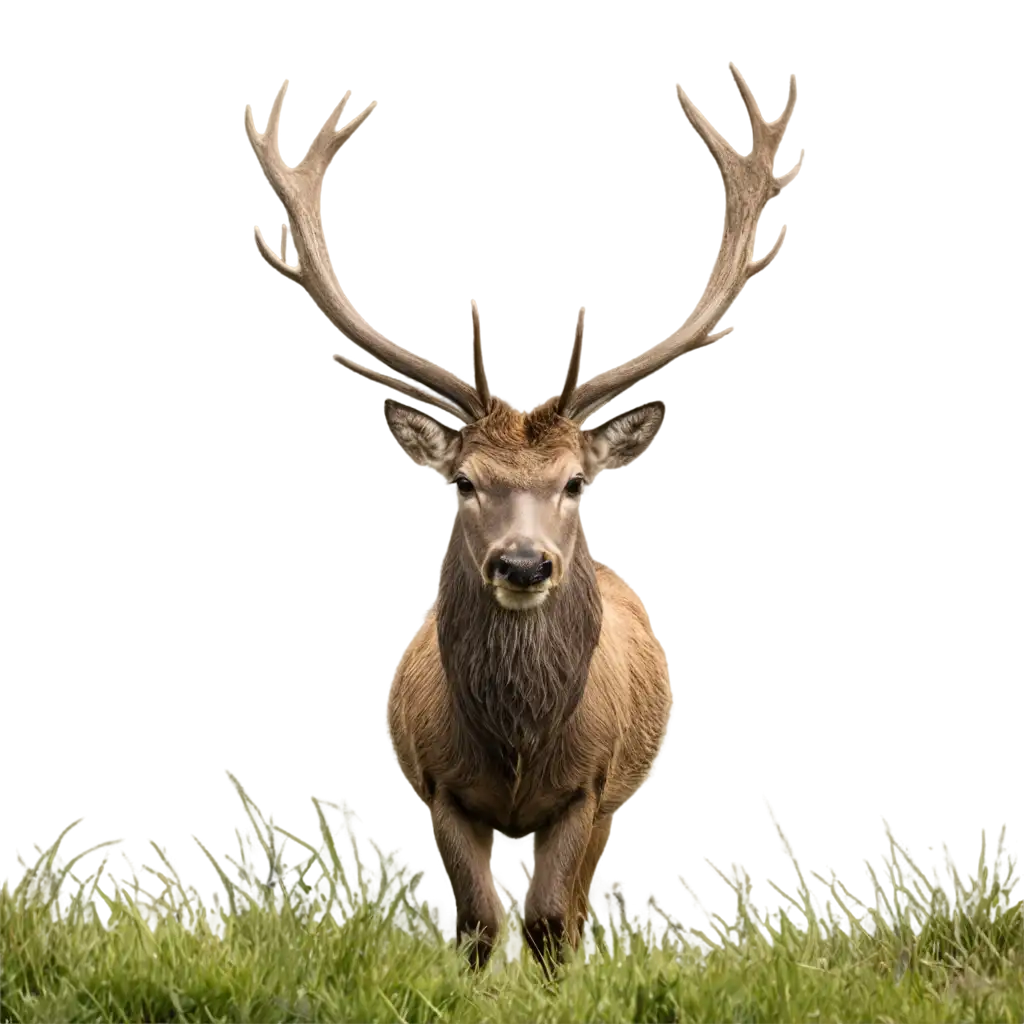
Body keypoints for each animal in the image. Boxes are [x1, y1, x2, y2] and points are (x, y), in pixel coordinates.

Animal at [239, 59, 798, 970]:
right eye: (465, 479)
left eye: (575, 482)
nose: (525, 563)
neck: (517, 752)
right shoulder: (438, 786)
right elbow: (475, 925)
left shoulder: (590, 787)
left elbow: (548, 926)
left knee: (574, 911)